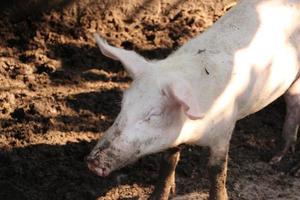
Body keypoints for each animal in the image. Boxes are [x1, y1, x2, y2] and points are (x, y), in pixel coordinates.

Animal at [86, 0, 300, 199]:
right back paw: (276, 157)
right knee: (293, 102)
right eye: (123, 106)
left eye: (153, 115)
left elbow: (217, 171)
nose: (92, 161)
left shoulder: (225, 128)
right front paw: (158, 196)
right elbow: (168, 162)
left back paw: (282, 164)